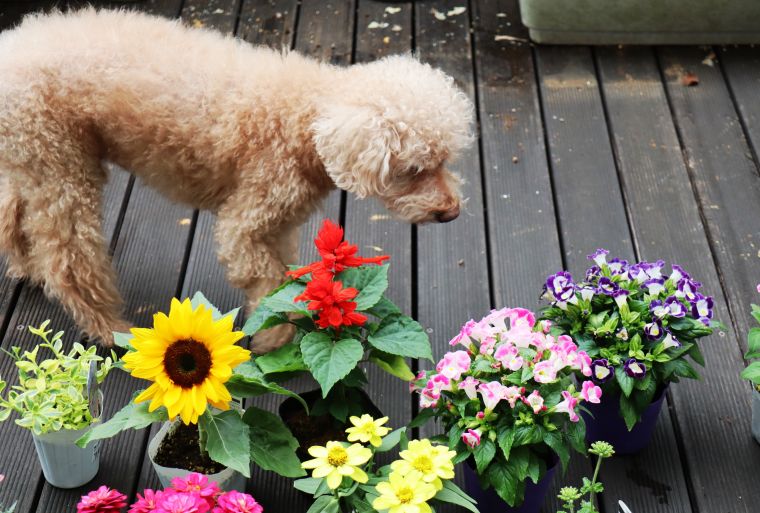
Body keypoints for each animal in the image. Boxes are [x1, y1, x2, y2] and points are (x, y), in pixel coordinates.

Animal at [0, 8, 476, 348]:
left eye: (445, 161)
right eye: (413, 170)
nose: (451, 213)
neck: (308, 119)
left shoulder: (280, 225)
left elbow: (286, 274)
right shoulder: (245, 226)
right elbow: (268, 282)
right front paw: (275, 336)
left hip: (33, 160)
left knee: (13, 216)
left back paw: (26, 268)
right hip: (62, 166)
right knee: (68, 261)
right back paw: (109, 327)